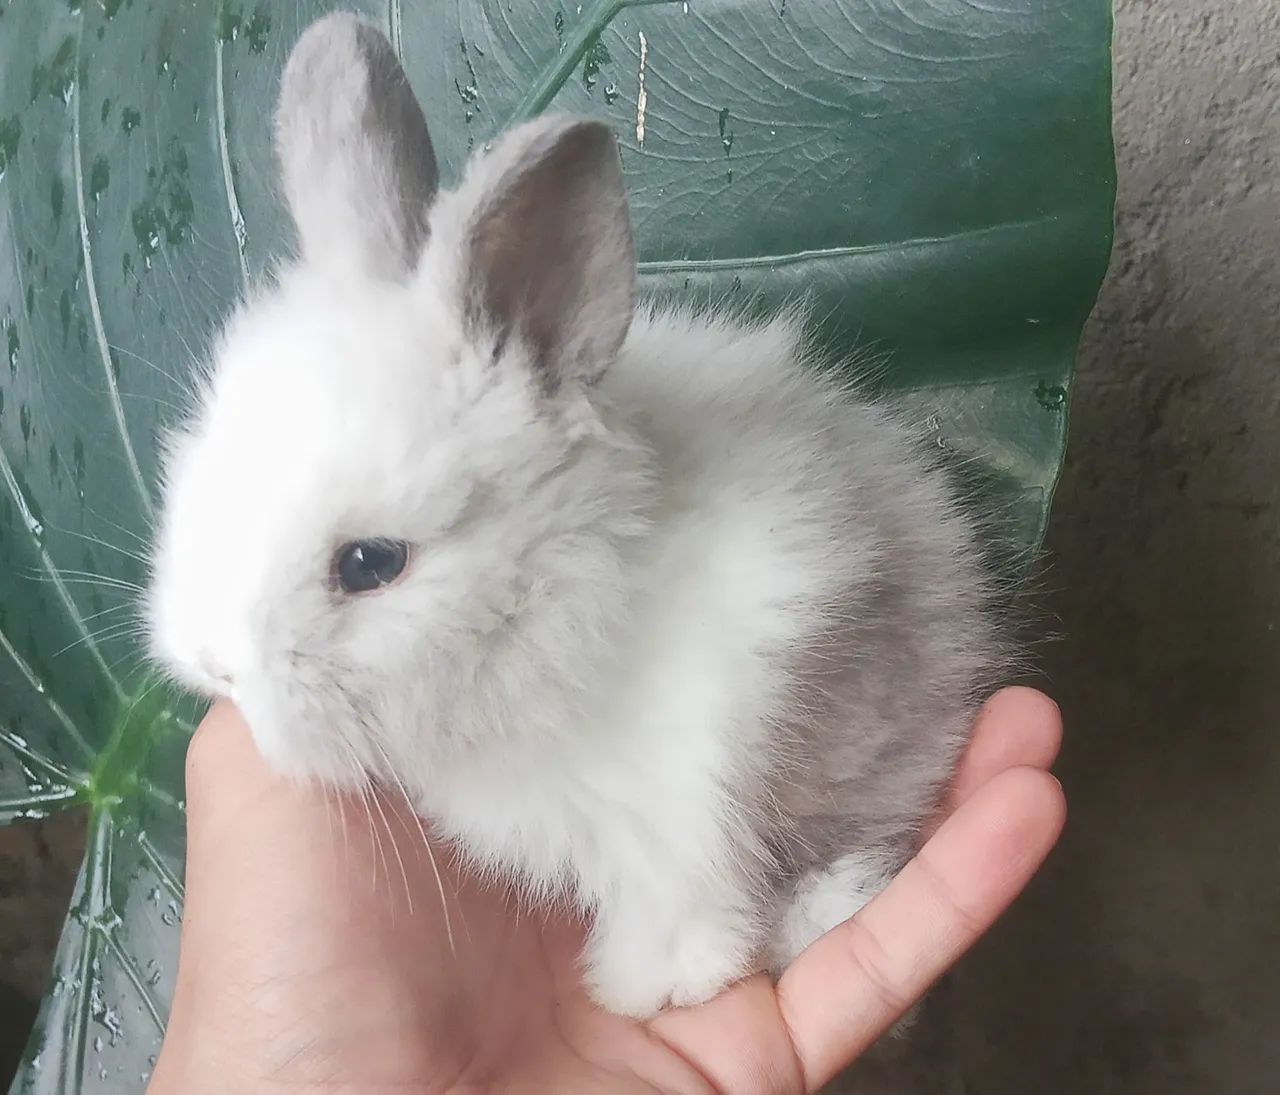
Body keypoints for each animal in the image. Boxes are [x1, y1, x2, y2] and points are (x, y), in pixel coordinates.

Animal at [146, 12, 1008, 1019]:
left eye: (370, 564)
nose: (217, 667)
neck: (571, 603)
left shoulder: (679, 798)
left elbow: (685, 899)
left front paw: (656, 985)